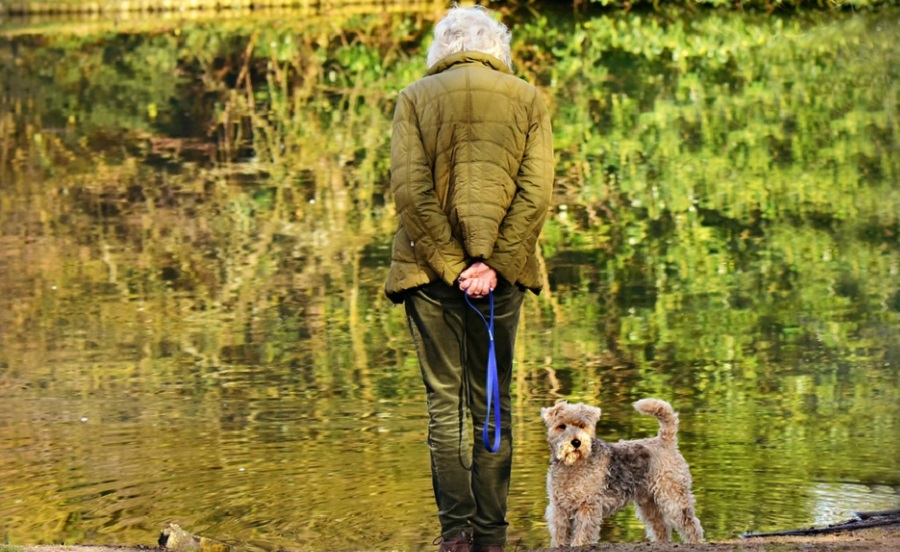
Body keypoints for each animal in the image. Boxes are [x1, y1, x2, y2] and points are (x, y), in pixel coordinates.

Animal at [540, 398, 704, 544]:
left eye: (582, 425)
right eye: (561, 426)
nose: (576, 442)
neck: (572, 466)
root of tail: (664, 440)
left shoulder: (588, 505)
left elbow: (582, 533)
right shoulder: (559, 507)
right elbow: (560, 533)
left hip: (673, 497)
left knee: (691, 525)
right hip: (648, 502)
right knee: (661, 527)